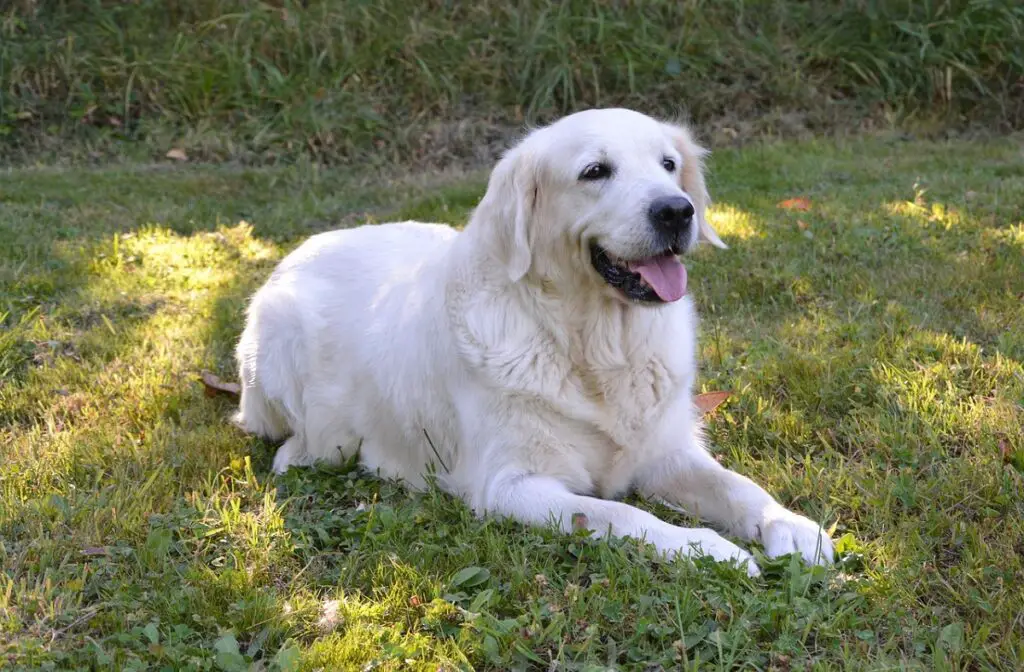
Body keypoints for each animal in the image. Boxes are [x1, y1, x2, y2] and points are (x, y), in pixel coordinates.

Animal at [235, 107, 835, 573]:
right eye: (595, 171)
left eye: (668, 165)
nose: (676, 210)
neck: (594, 343)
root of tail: (297, 249)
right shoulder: (512, 484)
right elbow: (620, 513)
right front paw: (708, 549)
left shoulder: (664, 451)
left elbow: (737, 485)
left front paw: (792, 525)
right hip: (284, 353)